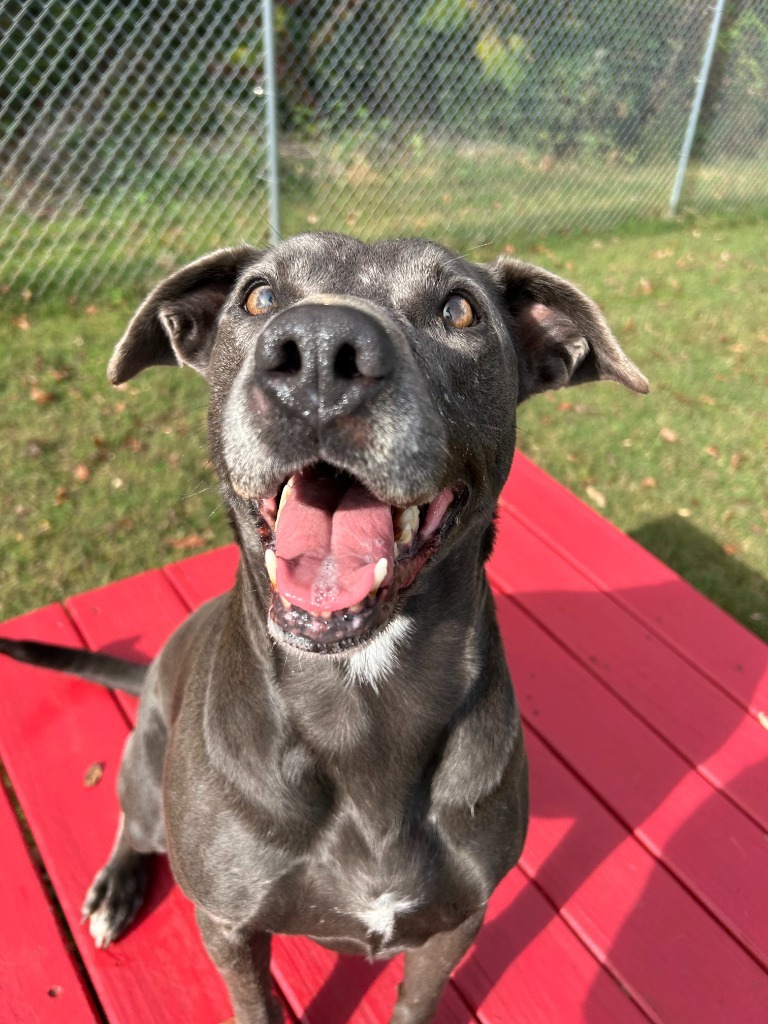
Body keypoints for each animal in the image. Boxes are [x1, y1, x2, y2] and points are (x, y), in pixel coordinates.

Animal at [0, 234, 651, 1024]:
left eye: (458, 309)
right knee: (134, 822)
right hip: (148, 772)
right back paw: (116, 888)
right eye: (257, 297)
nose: (317, 349)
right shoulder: (227, 924)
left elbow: (415, 1002)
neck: (360, 701)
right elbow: (256, 1007)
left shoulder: (457, 921)